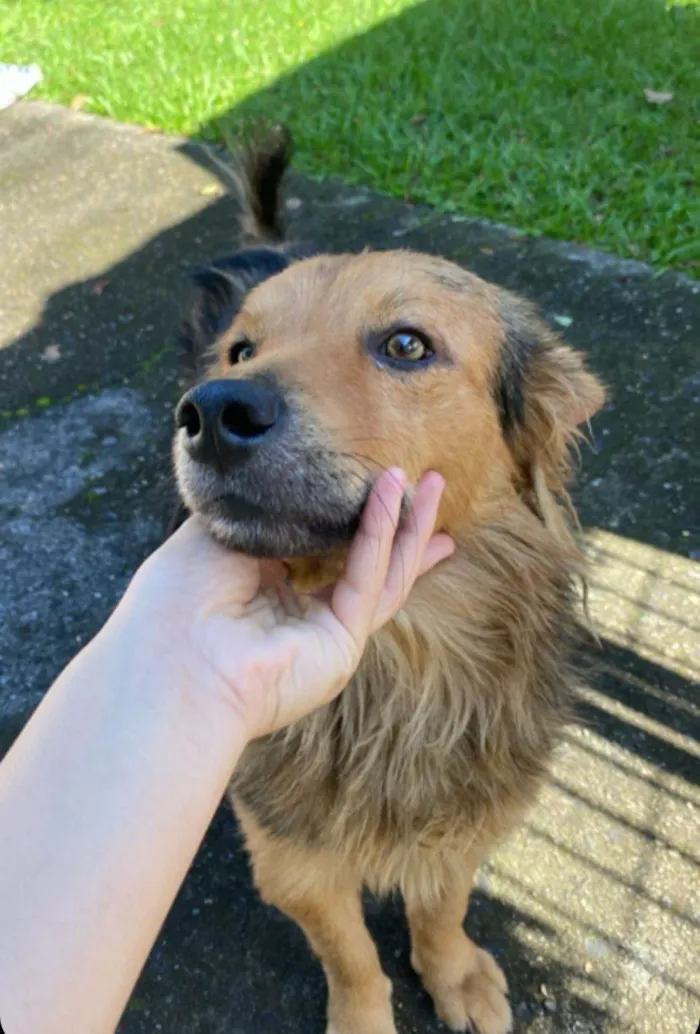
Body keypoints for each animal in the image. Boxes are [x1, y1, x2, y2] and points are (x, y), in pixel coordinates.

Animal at [171, 131, 603, 1034]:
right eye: (241, 351)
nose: (211, 411)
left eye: (407, 345)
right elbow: (351, 956)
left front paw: (453, 975)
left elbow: (441, 907)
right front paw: (367, 1015)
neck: (395, 665)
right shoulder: (292, 857)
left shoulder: (466, 821)